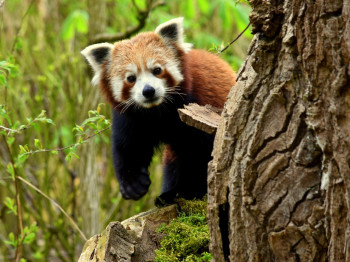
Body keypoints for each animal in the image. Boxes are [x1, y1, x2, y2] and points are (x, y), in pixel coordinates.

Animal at [81, 17, 235, 204]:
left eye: (157, 70)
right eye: (131, 78)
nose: (148, 91)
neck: (156, 113)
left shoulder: (199, 109)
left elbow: (205, 152)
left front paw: (191, 190)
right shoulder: (130, 118)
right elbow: (128, 146)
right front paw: (133, 184)